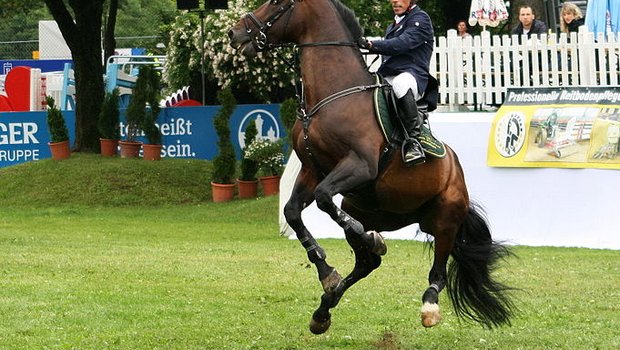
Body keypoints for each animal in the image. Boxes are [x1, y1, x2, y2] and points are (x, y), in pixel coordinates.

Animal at [228, 0, 512, 334]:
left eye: (276, 2)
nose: (235, 33)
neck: (332, 95)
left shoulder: (360, 166)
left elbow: (324, 198)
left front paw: (367, 241)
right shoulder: (313, 170)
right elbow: (293, 212)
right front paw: (327, 272)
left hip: (445, 218)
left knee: (437, 273)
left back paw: (428, 306)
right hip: (372, 208)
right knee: (367, 263)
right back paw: (325, 307)